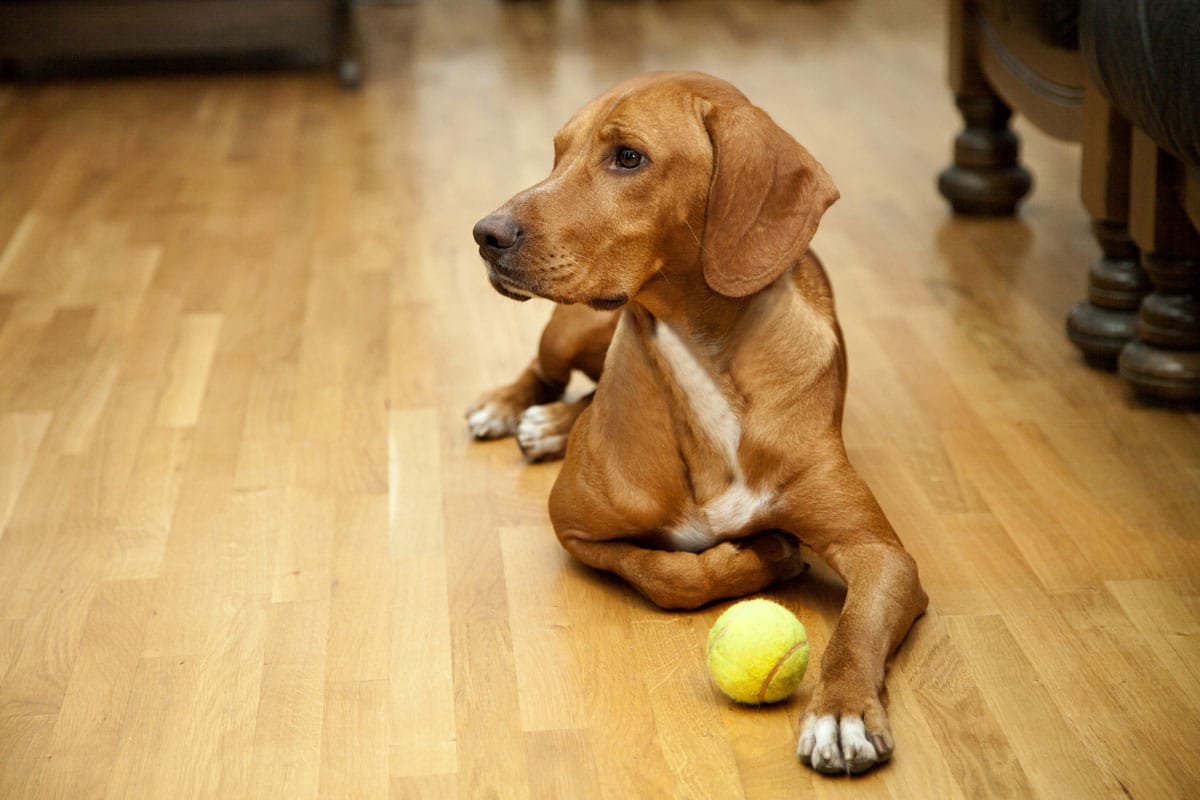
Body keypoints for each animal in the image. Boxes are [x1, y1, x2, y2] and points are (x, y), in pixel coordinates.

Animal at [463, 70, 921, 777]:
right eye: (557, 153)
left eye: (628, 157)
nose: (485, 233)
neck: (702, 359)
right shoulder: (571, 524)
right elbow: (668, 574)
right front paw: (764, 557)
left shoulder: (884, 555)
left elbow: (857, 629)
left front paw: (841, 711)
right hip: (569, 330)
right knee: (546, 372)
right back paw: (515, 408)